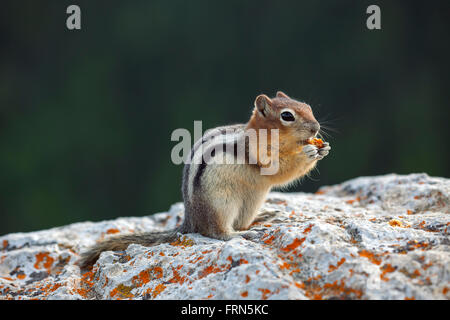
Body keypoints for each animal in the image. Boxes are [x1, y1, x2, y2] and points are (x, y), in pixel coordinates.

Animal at [77, 90, 330, 268]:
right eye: (287, 116)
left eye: (308, 107)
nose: (316, 127)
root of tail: (190, 221)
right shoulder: (260, 155)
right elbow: (279, 171)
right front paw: (308, 152)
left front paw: (323, 148)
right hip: (222, 203)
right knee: (217, 232)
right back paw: (241, 234)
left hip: (250, 202)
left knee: (242, 220)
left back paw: (264, 217)